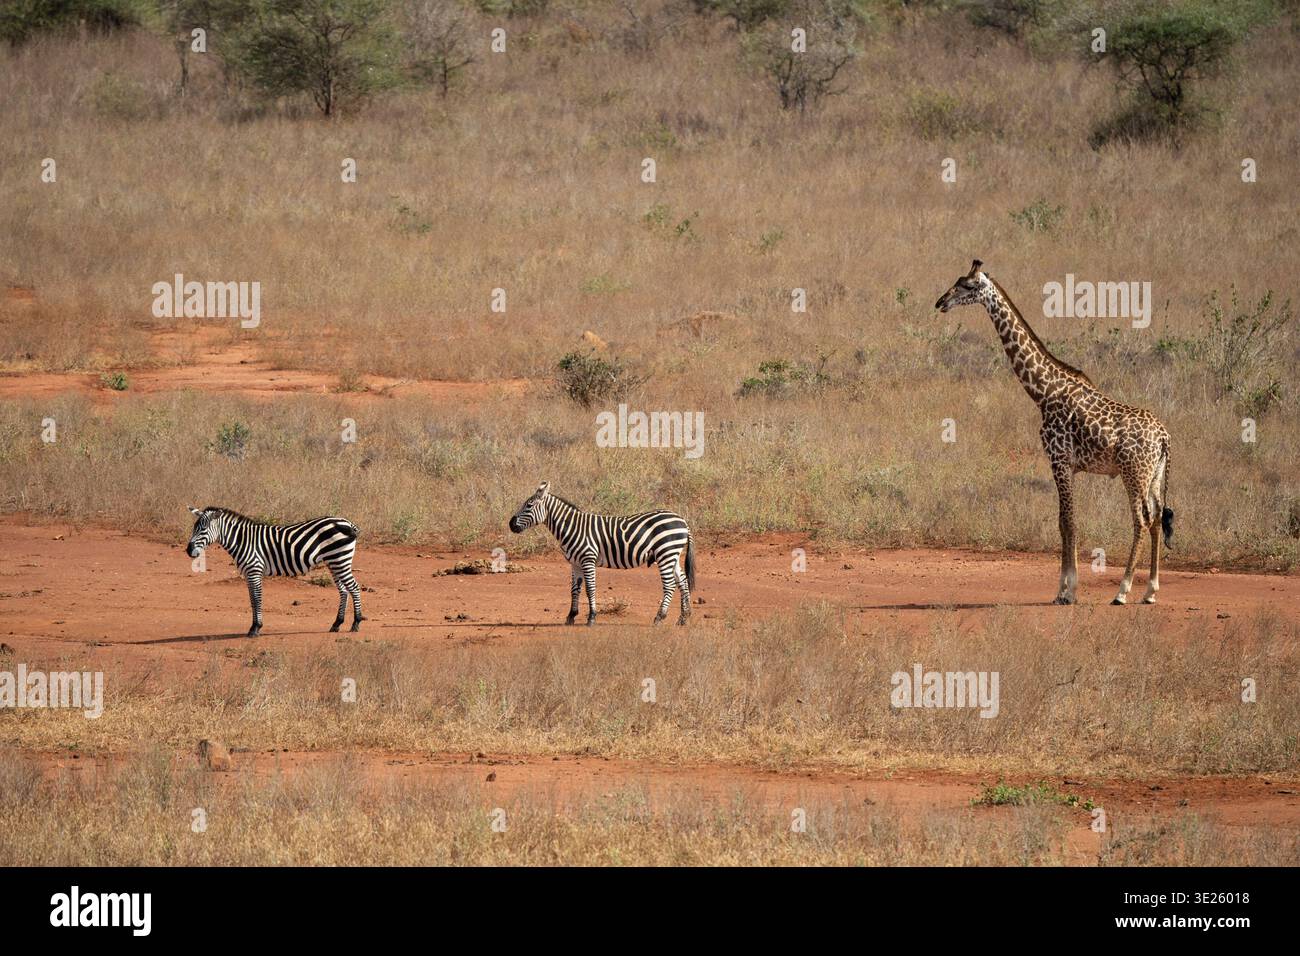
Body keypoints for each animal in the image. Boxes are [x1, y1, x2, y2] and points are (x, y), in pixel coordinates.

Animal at [935, 260, 1173, 605]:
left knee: (1141, 520)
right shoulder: (1069, 466)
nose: (941, 302)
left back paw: (1122, 591)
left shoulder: (1059, 459)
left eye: (966, 285)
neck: (1043, 391)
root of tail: (1164, 437)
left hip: (1134, 472)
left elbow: (1068, 523)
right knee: (1155, 519)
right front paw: (1063, 589)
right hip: (1154, 475)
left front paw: (1067, 591)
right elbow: (1064, 522)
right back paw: (1150, 591)